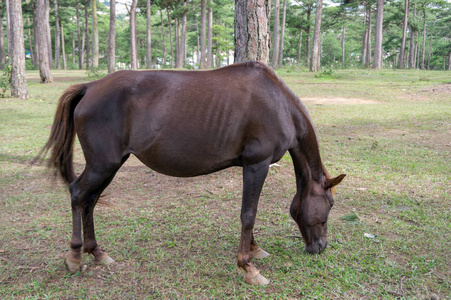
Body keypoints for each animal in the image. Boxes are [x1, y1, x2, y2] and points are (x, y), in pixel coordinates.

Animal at [38, 61, 346, 286]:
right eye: (330, 204)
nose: (321, 246)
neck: (279, 104)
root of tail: (90, 87)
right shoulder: (257, 165)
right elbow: (249, 214)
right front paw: (248, 267)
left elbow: (249, 213)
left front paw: (254, 249)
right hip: (103, 165)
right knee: (78, 195)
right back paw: (75, 255)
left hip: (108, 167)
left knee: (89, 201)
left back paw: (97, 253)